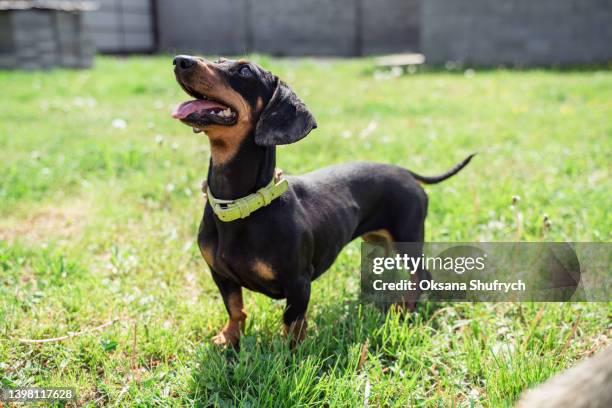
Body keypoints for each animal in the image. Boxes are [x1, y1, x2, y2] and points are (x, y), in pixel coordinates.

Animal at [171, 54, 474, 348]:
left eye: (245, 71)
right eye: (219, 61)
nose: (180, 60)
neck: (241, 205)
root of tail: (406, 172)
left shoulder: (298, 283)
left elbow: (292, 322)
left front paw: (292, 353)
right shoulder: (220, 275)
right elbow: (235, 308)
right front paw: (229, 337)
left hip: (408, 238)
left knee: (421, 277)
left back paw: (404, 311)